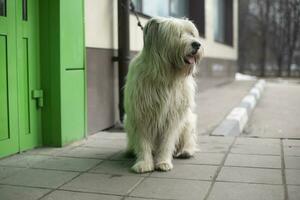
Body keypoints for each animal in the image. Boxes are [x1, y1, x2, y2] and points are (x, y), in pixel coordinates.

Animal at [123, 17, 203, 173]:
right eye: (178, 34)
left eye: (191, 33)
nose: (197, 44)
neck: (166, 75)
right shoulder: (140, 114)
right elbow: (142, 142)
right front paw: (144, 163)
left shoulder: (172, 116)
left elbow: (167, 141)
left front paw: (163, 162)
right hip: (127, 121)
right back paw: (130, 150)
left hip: (188, 121)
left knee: (189, 139)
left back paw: (186, 151)